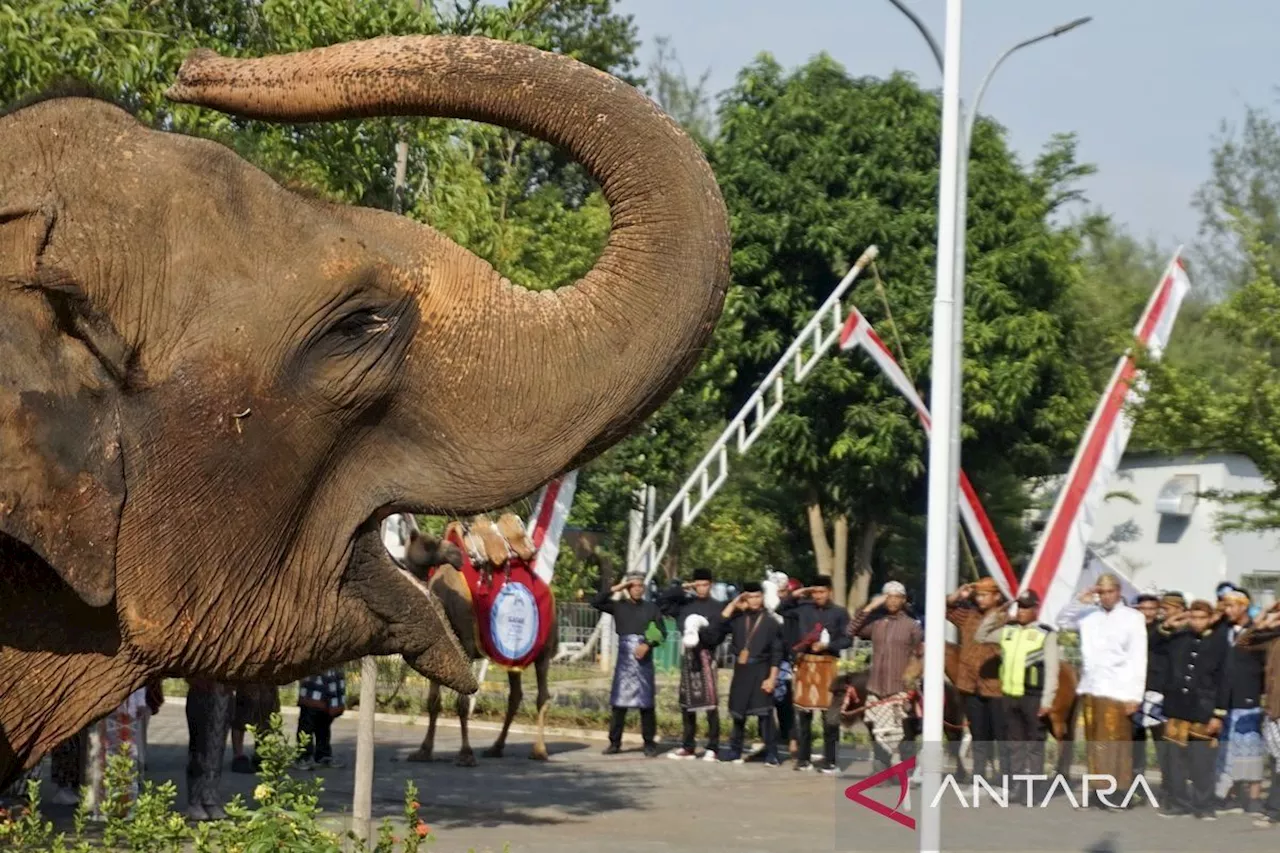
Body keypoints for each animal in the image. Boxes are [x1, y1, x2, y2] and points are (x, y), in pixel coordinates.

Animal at [401, 512, 558, 763]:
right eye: (429, 543)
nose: (454, 555)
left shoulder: (466, 645)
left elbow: (463, 702)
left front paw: (466, 754)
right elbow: (433, 701)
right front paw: (423, 750)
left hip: (544, 649)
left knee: (542, 695)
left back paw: (539, 750)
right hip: (513, 655)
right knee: (515, 694)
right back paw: (496, 747)